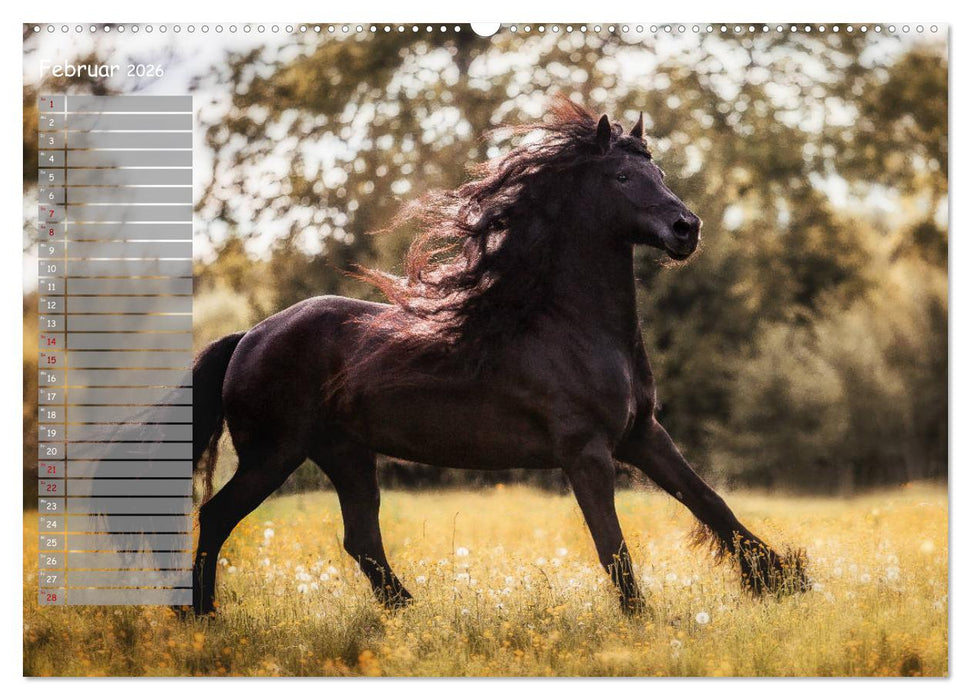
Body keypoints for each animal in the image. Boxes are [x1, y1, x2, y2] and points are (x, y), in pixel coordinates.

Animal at [190, 98, 807, 616]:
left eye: (661, 176)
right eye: (622, 176)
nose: (687, 229)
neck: (572, 331)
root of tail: (250, 335)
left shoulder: (642, 435)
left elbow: (710, 503)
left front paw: (784, 579)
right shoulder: (587, 452)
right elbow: (613, 546)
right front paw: (643, 621)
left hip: (346, 454)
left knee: (361, 540)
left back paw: (416, 619)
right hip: (275, 452)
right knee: (217, 516)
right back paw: (202, 615)